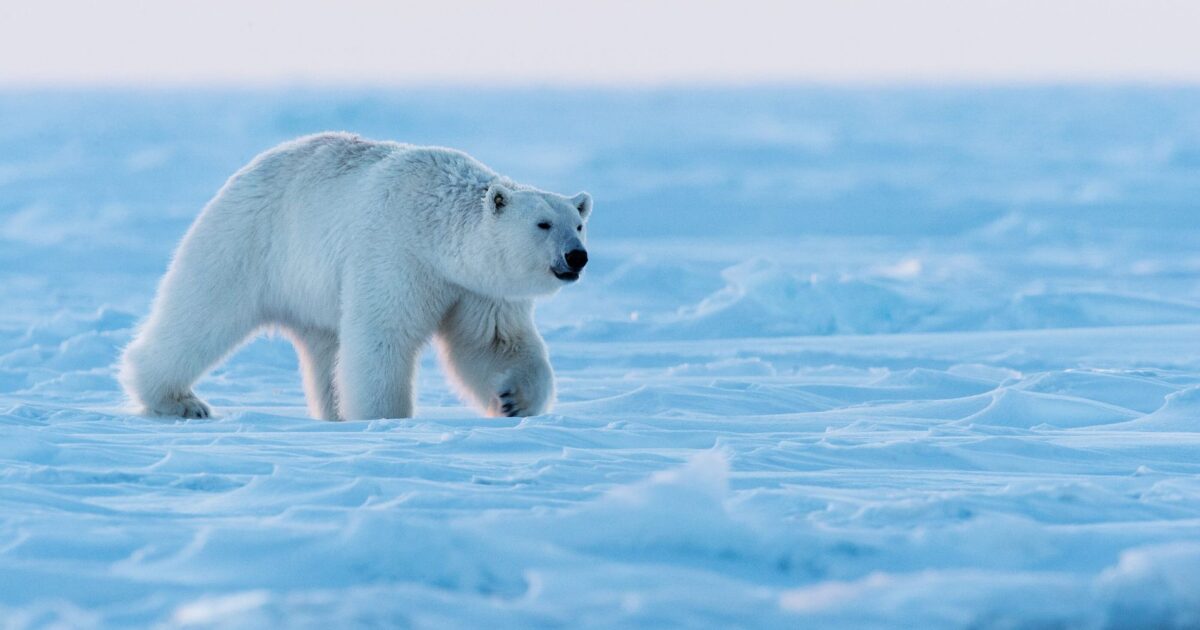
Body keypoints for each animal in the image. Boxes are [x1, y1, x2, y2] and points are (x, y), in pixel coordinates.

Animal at [118, 132, 591, 421]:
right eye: (543, 224)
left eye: (579, 223)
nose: (577, 256)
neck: (434, 227)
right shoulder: (397, 254)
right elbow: (382, 336)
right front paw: (386, 417)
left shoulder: (477, 288)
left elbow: (494, 342)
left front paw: (514, 399)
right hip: (247, 243)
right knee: (200, 313)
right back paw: (179, 401)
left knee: (325, 350)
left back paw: (334, 412)